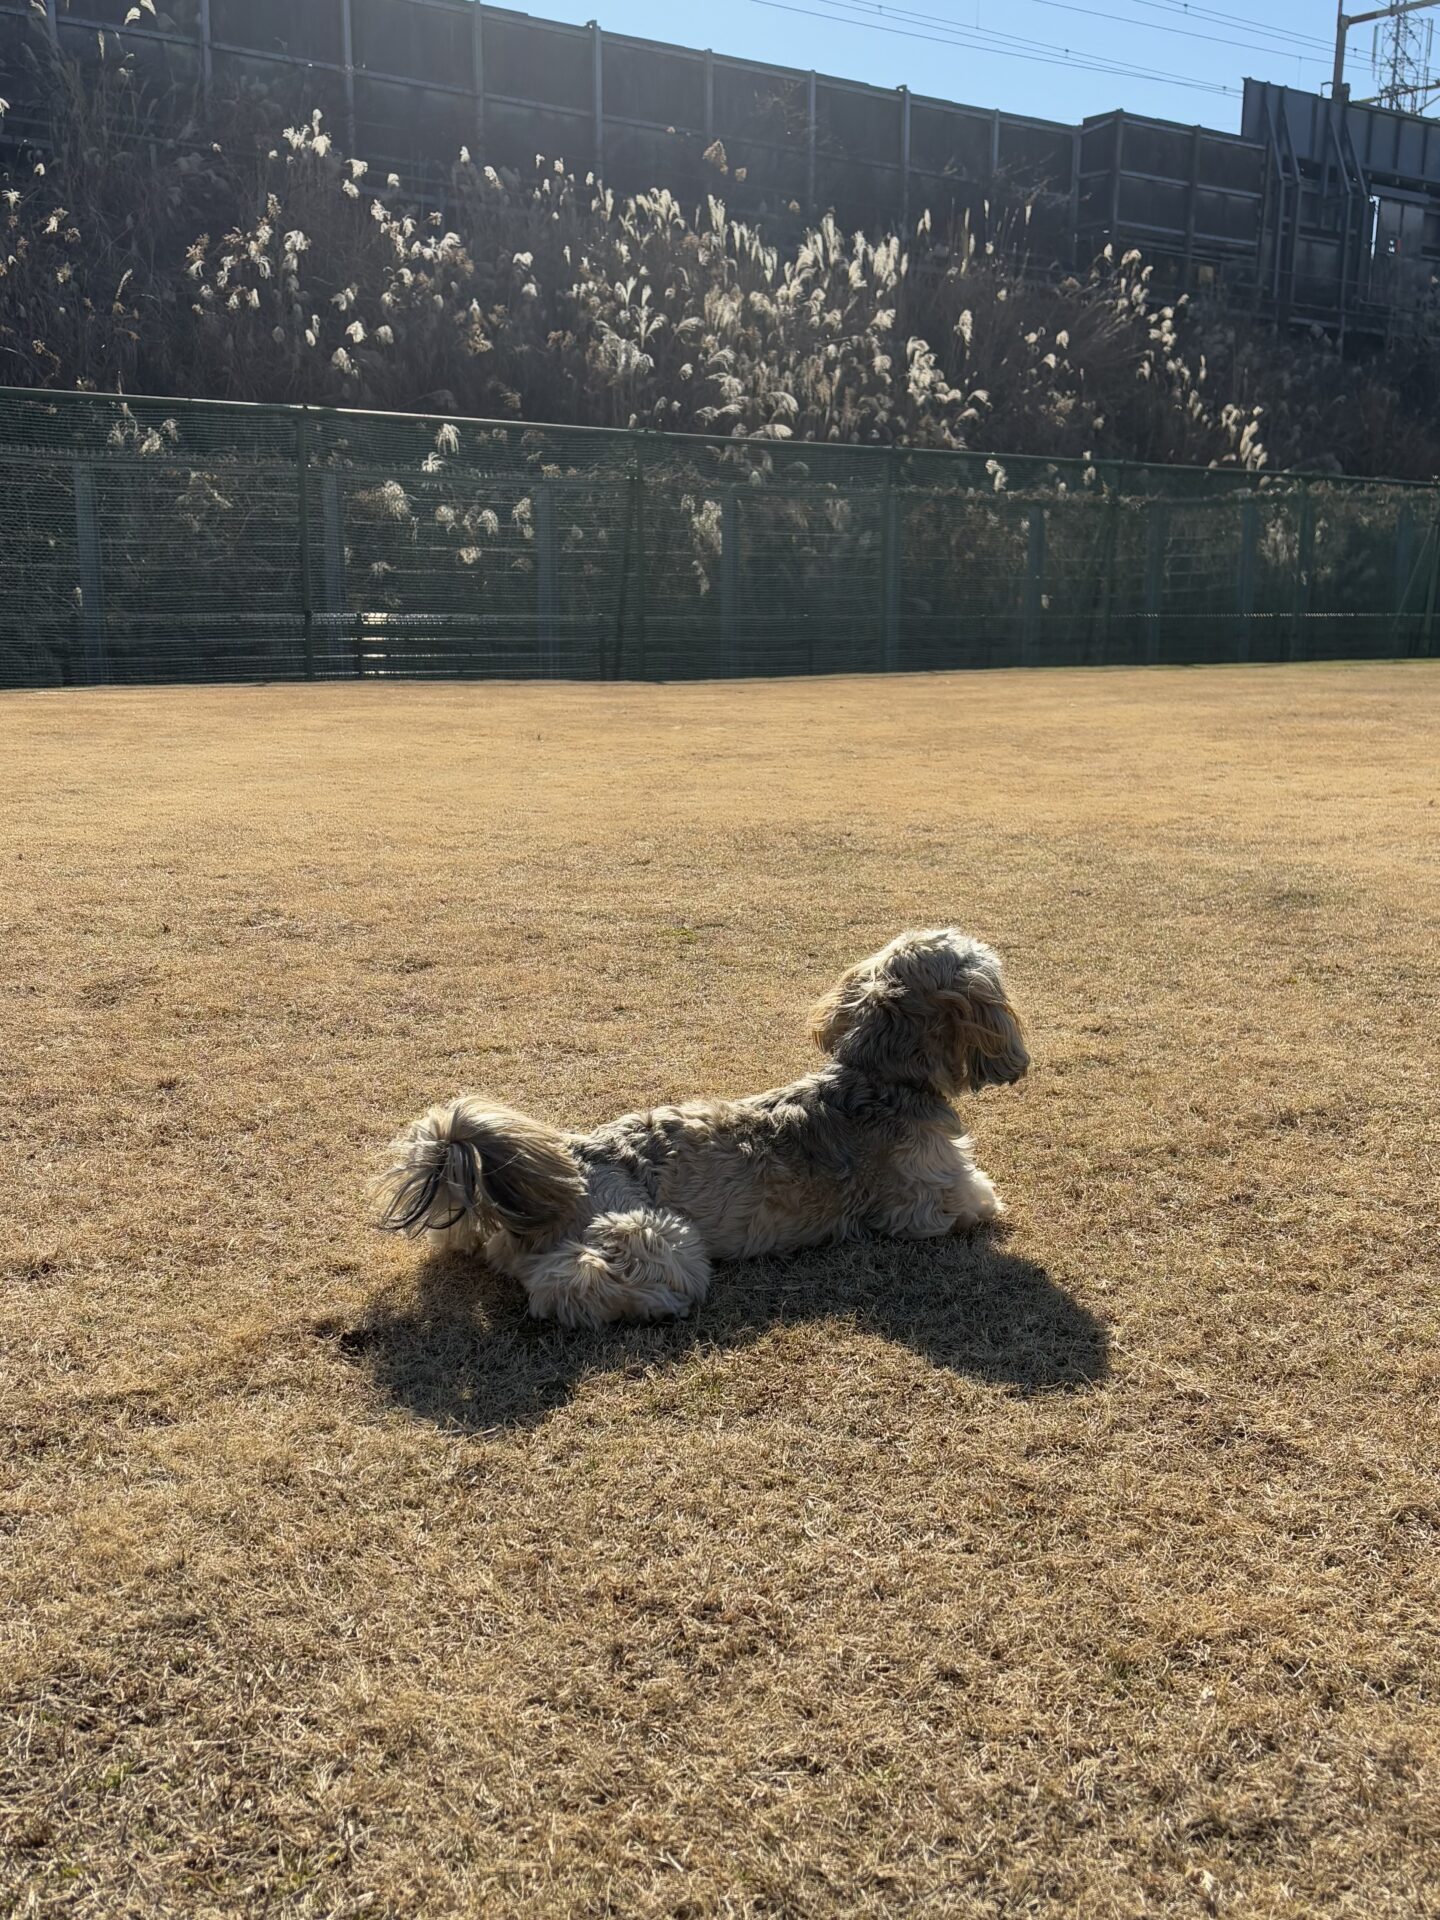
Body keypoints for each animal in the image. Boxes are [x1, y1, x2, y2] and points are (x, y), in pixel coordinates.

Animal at [376, 928, 1029, 1328]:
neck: (878, 1080)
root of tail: (568, 1158)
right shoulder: (931, 1203)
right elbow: (979, 1204)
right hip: (655, 1235)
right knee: (568, 1284)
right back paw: (653, 1303)